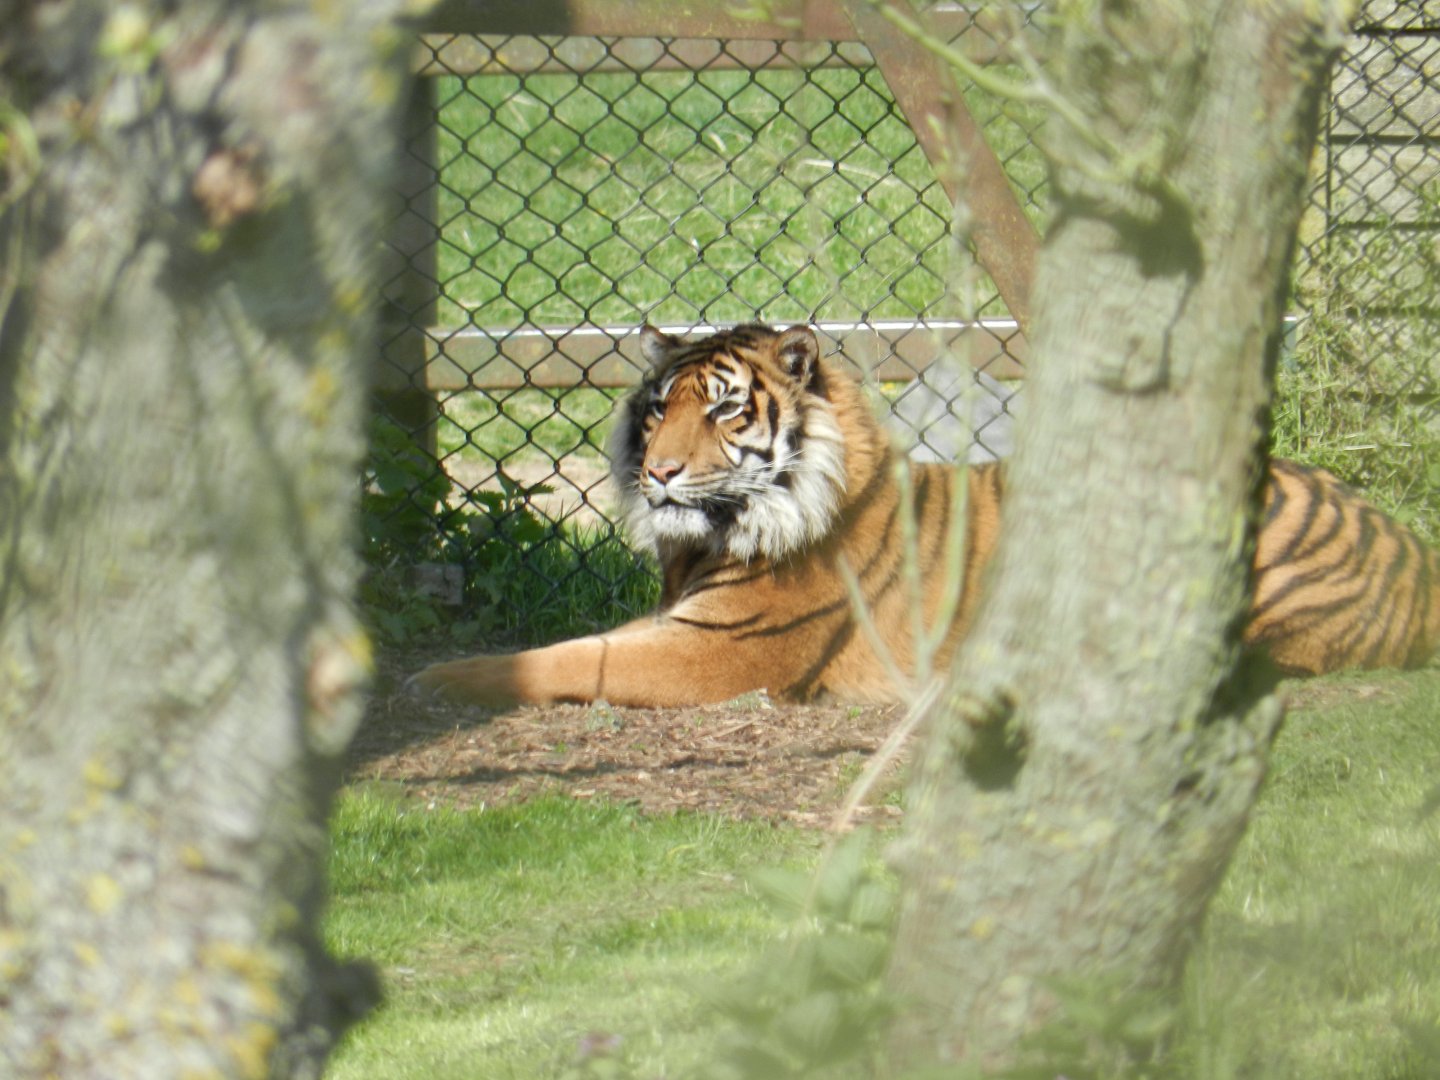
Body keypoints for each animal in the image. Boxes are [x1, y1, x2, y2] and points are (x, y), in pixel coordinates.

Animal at [413, 323, 1440, 708]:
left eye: (726, 410)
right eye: (659, 407)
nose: (658, 471)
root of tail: (1409, 544)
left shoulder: (714, 649)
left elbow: (571, 658)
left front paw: (436, 678)